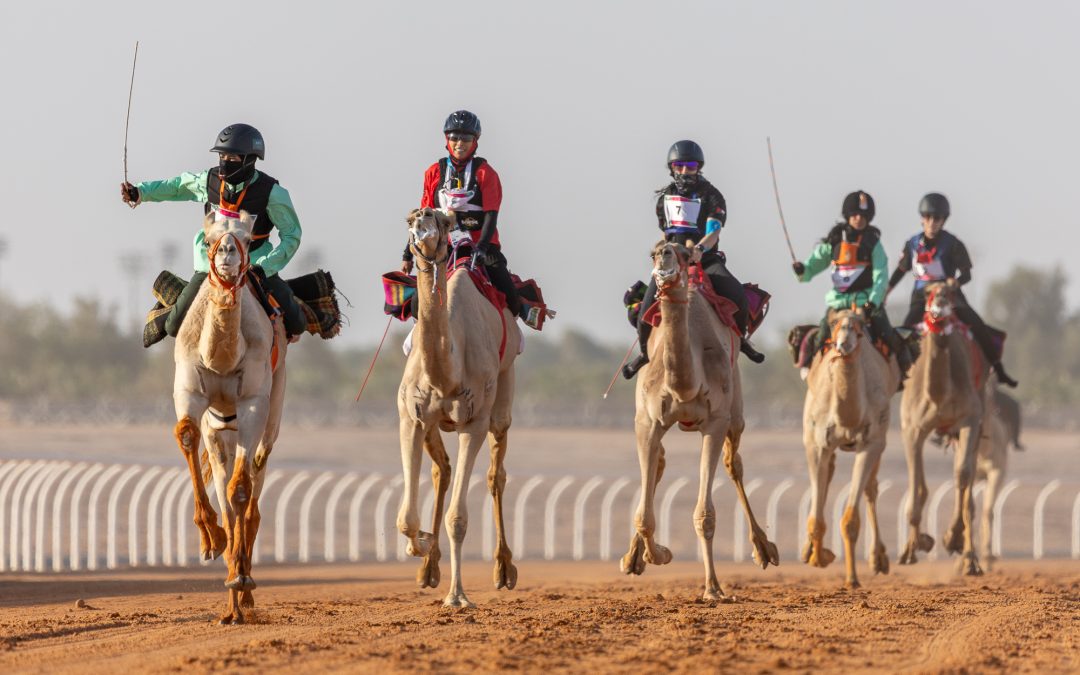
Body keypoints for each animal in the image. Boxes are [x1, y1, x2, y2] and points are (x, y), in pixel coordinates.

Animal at [172, 210, 287, 624]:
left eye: (247, 237)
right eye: (208, 238)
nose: (227, 255)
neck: (221, 354)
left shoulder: (254, 401)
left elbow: (240, 489)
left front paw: (240, 577)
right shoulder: (190, 392)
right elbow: (186, 435)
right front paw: (211, 537)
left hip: (272, 413)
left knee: (254, 476)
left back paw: (244, 589)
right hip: (220, 429)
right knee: (225, 482)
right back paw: (232, 605)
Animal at [396, 207, 521, 608]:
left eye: (441, 219)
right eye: (410, 218)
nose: (422, 227)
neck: (444, 375)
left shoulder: (473, 421)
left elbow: (459, 518)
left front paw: (458, 596)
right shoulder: (410, 418)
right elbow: (406, 518)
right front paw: (420, 545)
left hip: (503, 388)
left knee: (497, 473)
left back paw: (504, 571)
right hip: (433, 424)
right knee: (442, 471)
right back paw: (429, 568)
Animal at [621, 241, 778, 600]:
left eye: (683, 254)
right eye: (653, 252)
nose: (665, 256)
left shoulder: (716, 421)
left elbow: (705, 514)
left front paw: (713, 588)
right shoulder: (646, 422)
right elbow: (643, 516)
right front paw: (656, 554)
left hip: (736, 411)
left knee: (734, 464)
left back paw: (764, 549)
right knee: (659, 465)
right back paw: (633, 556)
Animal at [801, 307, 899, 587]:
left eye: (859, 327)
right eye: (834, 323)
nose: (844, 343)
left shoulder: (871, 442)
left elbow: (850, 520)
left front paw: (852, 578)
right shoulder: (816, 444)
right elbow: (816, 517)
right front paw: (818, 557)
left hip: (880, 440)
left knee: (871, 488)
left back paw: (878, 559)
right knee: (828, 478)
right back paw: (808, 550)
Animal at [898, 281, 989, 575]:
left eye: (952, 289)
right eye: (928, 291)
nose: (939, 302)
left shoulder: (970, 419)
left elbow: (963, 476)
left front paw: (962, 550)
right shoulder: (912, 428)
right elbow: (917, 484)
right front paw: (912, 548)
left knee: (967, 482)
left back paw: (960, 546)